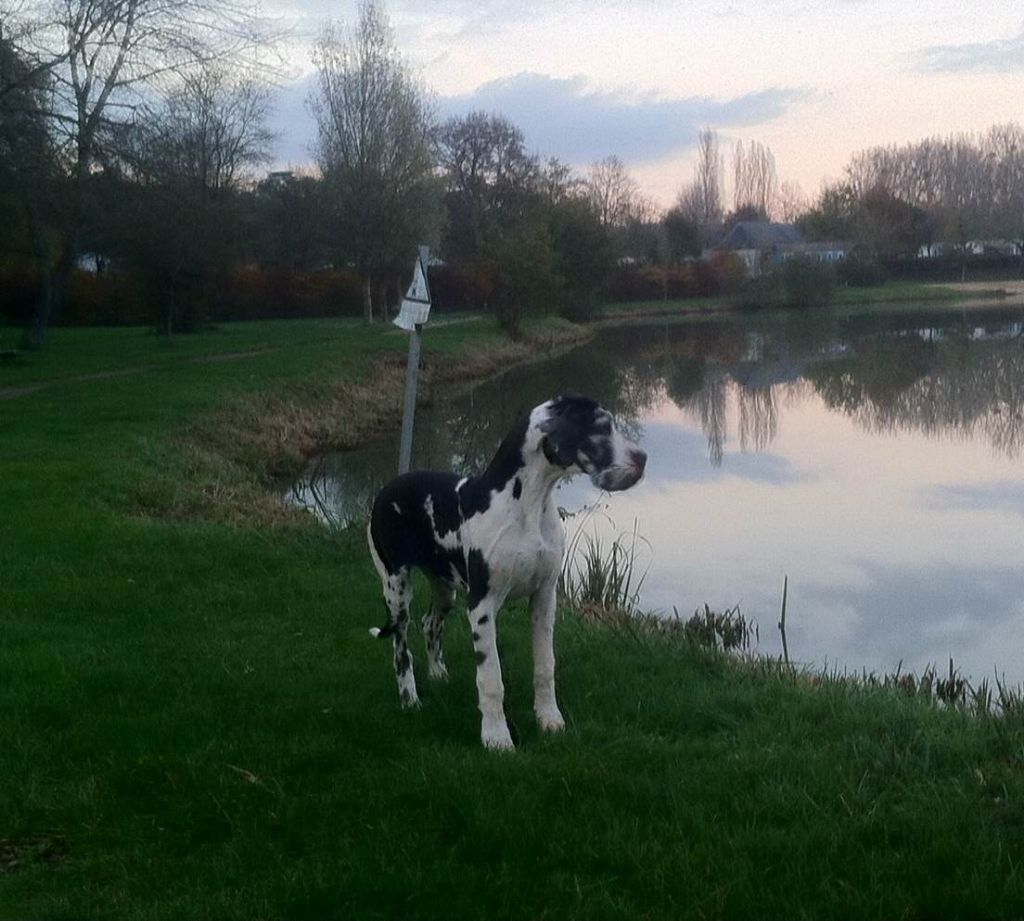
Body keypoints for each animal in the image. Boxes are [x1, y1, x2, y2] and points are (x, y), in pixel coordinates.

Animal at [364, 393, 643, 749]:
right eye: (602, 427)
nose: (643, 459)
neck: (528, 504)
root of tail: (386, 489)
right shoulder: (481, 607)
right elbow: (491, 678)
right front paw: (496, 737)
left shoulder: (545, 598)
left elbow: (545, 666)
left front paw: (549, 719)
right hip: (397, 590)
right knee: (401, 650)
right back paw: (410, 699)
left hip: (444, 589)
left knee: (430, 624)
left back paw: (439, 674)